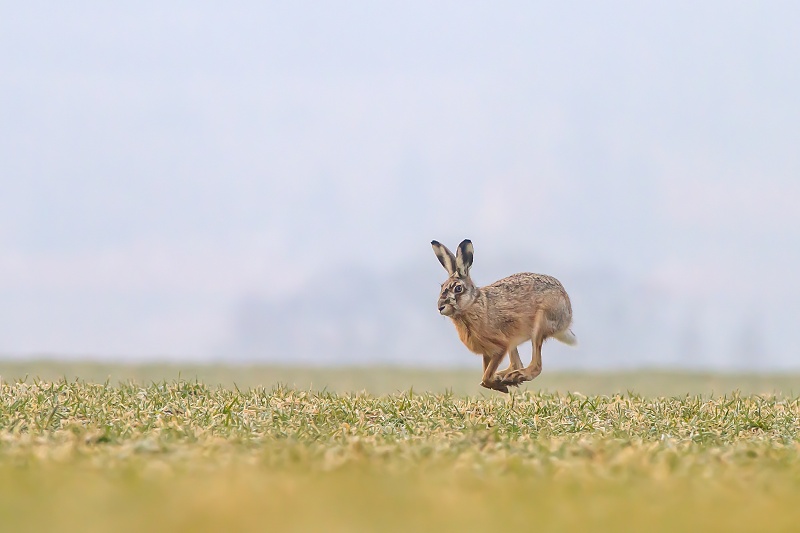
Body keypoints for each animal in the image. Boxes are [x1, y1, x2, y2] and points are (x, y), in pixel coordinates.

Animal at [431, 239, 576, 393]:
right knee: (516, 364)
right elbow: (485, 373)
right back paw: (507, 377)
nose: (440, 307)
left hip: (540, 324)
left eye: (458, 288)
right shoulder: (488, 351)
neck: (473, 305)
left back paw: (515, 377)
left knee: (536, 365)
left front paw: (499, 385)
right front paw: (499, 383)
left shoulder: (500, 346)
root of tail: (567, 309)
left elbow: (486, 376)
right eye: (442, 287)